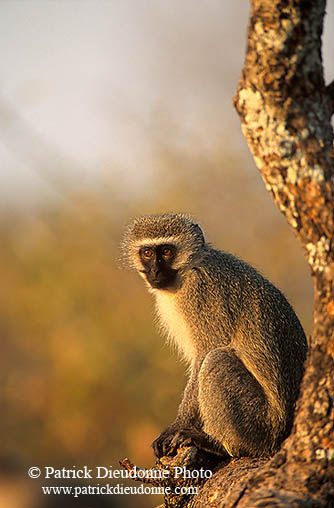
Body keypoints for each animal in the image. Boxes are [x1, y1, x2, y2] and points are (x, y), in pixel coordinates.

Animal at [121, 212, 306, 458]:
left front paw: (179, 424)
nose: (155, 272)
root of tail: (280, 435)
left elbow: (205, 353)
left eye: (167, 251)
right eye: (148, 253)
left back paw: (219, 444)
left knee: (217, 359)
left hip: (260, 423)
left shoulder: (200, 294)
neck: (187, 270)